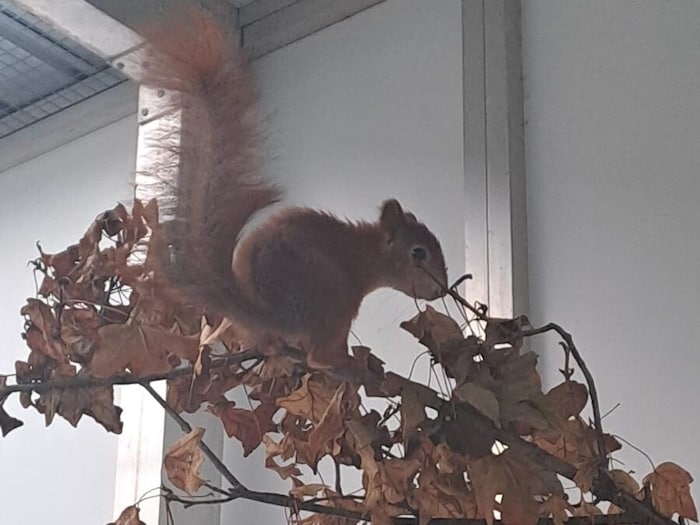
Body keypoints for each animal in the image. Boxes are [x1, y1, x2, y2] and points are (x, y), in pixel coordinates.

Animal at [140, 10, 449, 367]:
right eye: (418, 253)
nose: (442, 290)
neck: (366, 252)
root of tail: (268, 313)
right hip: (332, 295)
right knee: (318, 355)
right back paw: (347, 365)